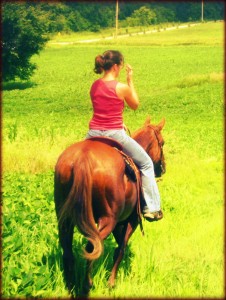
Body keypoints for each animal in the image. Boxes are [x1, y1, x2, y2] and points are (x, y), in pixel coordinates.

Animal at [53, 116, 165, 296]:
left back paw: (71, 288)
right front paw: (111, 283)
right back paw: (87, 285)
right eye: (162, 143)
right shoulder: (130, 220)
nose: (163, 168)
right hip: (108, 220)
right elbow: (120, 249)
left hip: (64, 219)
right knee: (92, 248)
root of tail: (82, 158)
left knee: (68, 252)